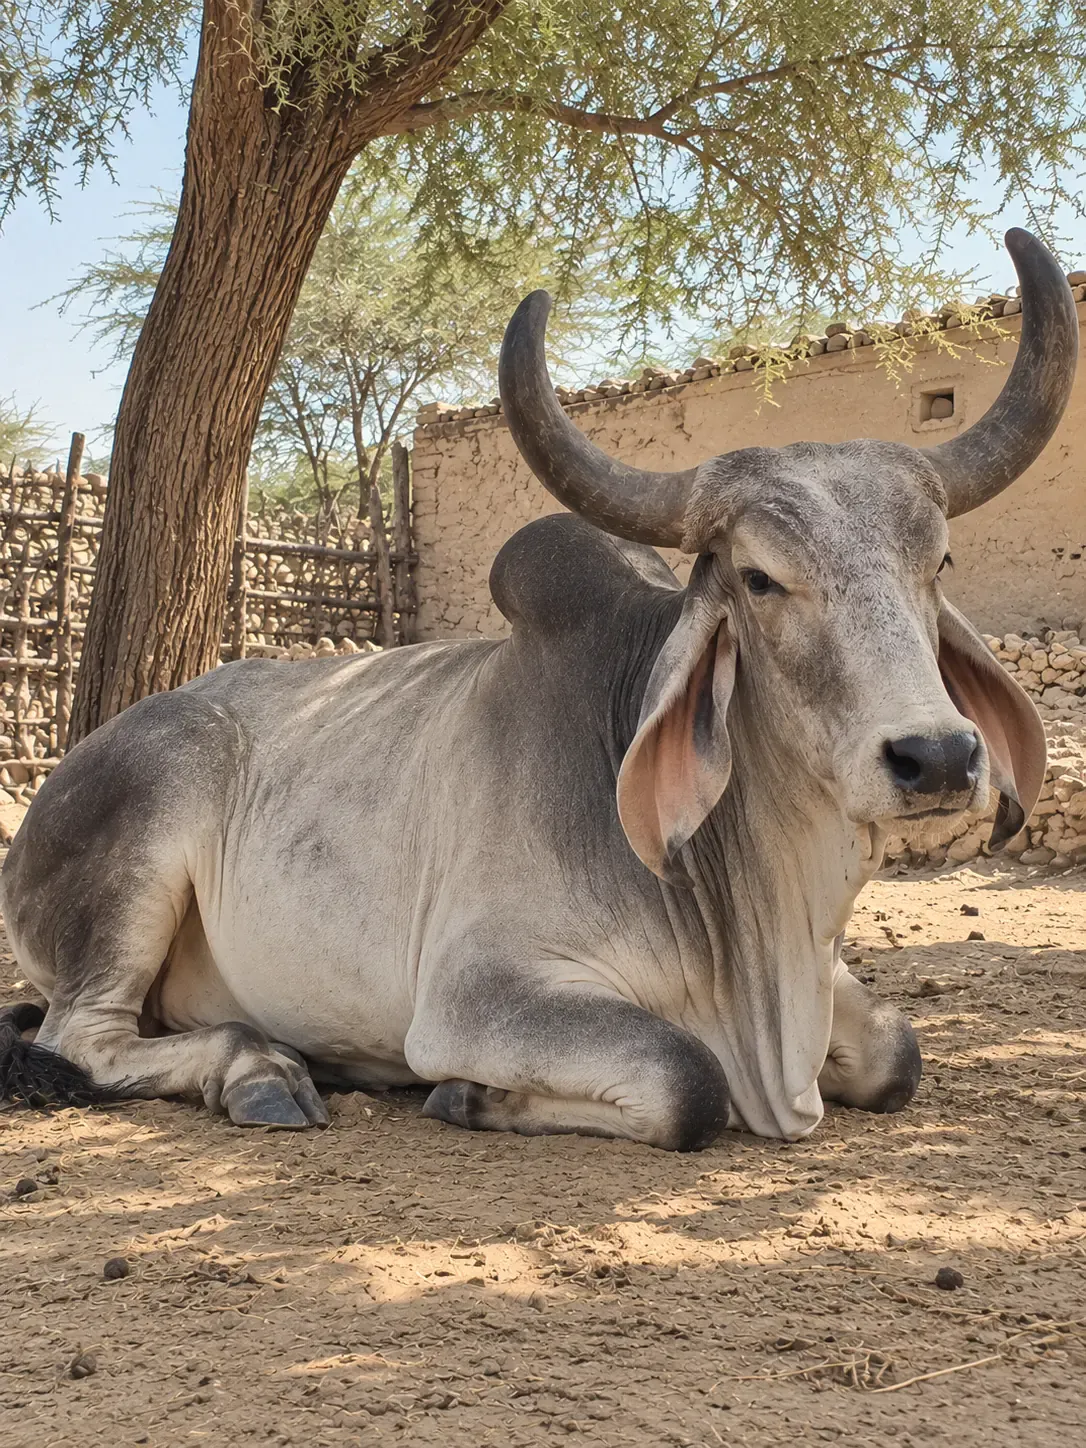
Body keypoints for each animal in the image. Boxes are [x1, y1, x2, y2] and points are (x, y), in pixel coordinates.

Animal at [0, 230, 1075, 1147]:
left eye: (939, 560)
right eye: (761, 578)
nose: (938, 756)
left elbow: (899, 1051)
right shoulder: (479, 993)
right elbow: (689, 1081)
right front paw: (467, 1094)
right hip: (140, 859)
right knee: (82, 1039)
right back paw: (260, 1069)